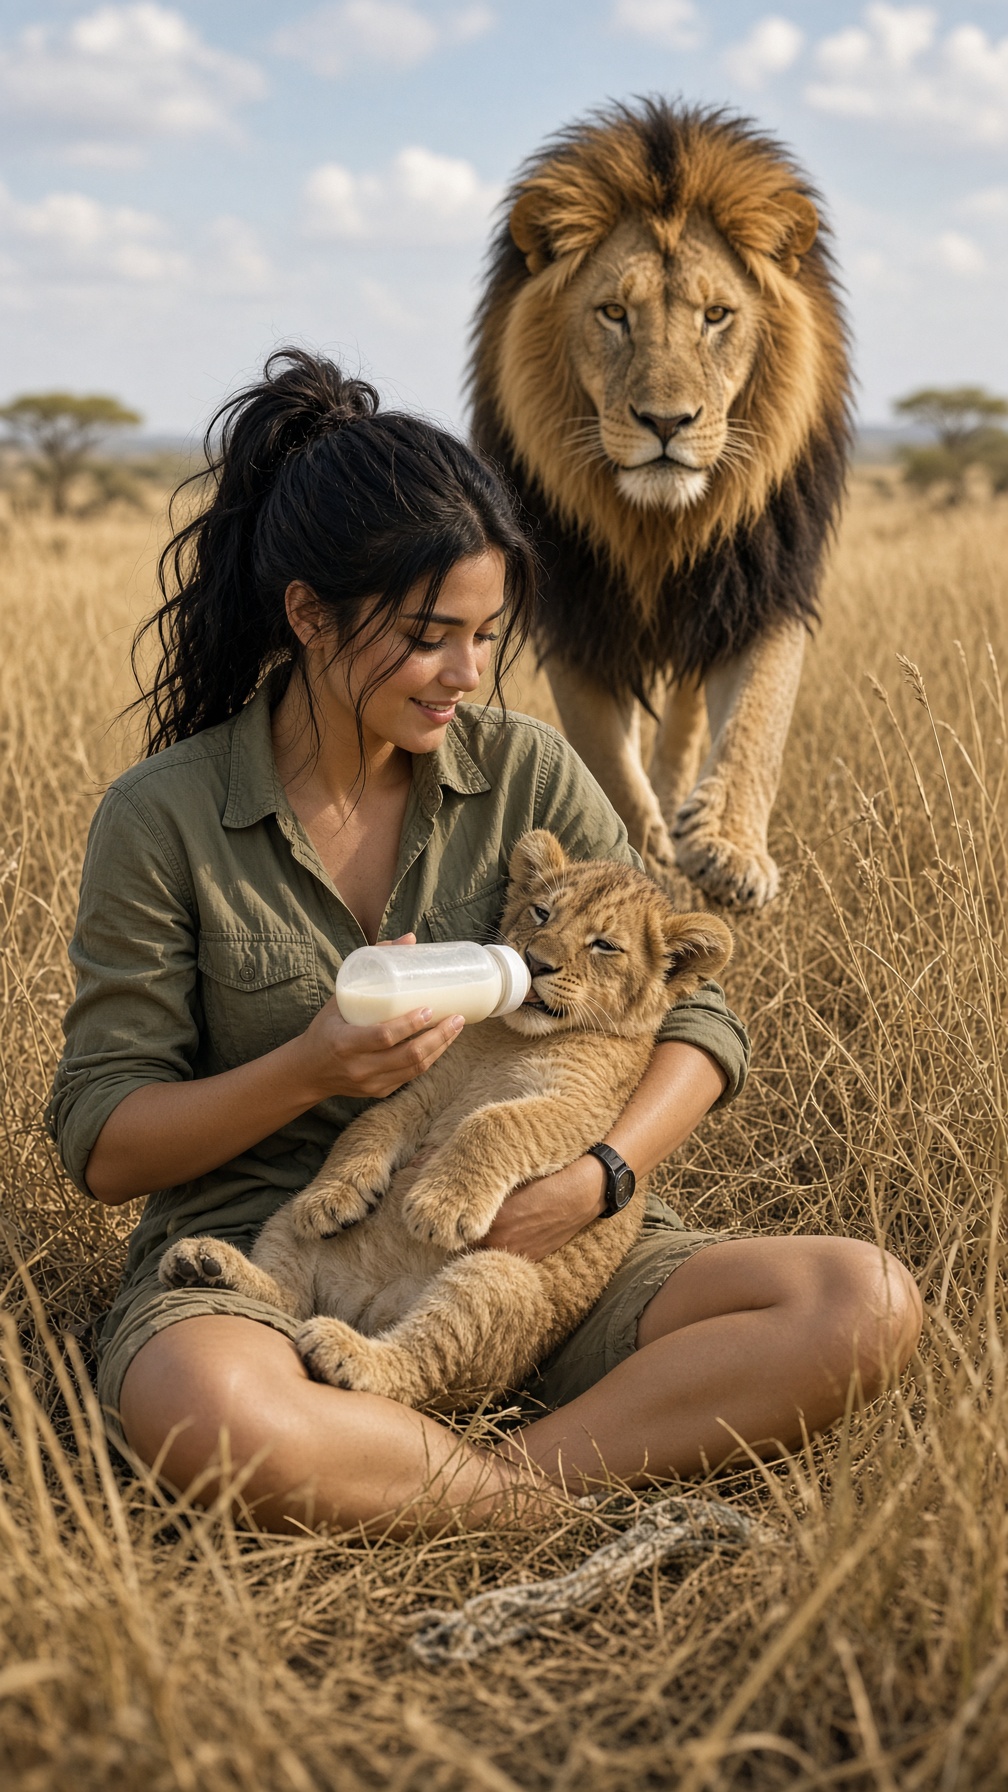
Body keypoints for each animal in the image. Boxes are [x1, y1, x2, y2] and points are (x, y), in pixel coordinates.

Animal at [159, 830, 732, 1410]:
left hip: (495, 1279)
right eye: (542, 912)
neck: (508, 1037)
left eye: (605, 946)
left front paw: (440, 1207)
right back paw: (208, 1266)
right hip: (285, 1222)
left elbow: (493, 1121)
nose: (534, 961)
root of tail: (364, 1306)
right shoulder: (429, 1088)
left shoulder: (582, 1108)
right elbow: (373, 1122)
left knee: (414, 1370)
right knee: (290, 1300)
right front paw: (334, 1197)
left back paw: (344, 1351)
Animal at [470, 100, 852, 909]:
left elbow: (759, 718)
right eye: (614, 312)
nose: (666, 422)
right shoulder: (577, 611)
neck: (657, 525)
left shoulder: (764, 580)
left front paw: (728, 853)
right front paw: (634, 859)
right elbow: (603, 757)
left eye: (717, 315)